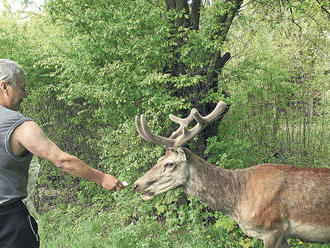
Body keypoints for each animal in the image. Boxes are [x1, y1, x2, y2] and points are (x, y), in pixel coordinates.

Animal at [133, 101, 330, 248]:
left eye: (169, 164)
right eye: (159, 159)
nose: (137, 184)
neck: (237, 200)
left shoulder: (273, 229)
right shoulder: (283, 234)